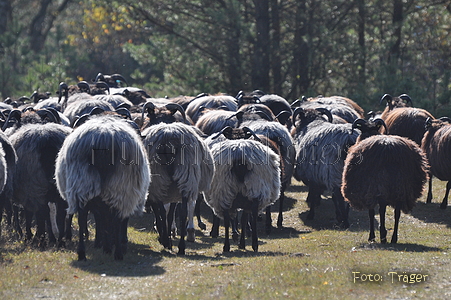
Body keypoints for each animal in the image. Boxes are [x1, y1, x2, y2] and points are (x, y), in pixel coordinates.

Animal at [144, 120, 216, 254]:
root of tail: (168, 138)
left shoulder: (165, 191)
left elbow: (165, 212)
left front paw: (165, 237)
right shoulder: (172, 190)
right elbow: (171, 212)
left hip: (161, 178)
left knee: (166, 211)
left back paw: (170, 242)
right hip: (185, 176)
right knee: (182, 211)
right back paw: (181, 246)